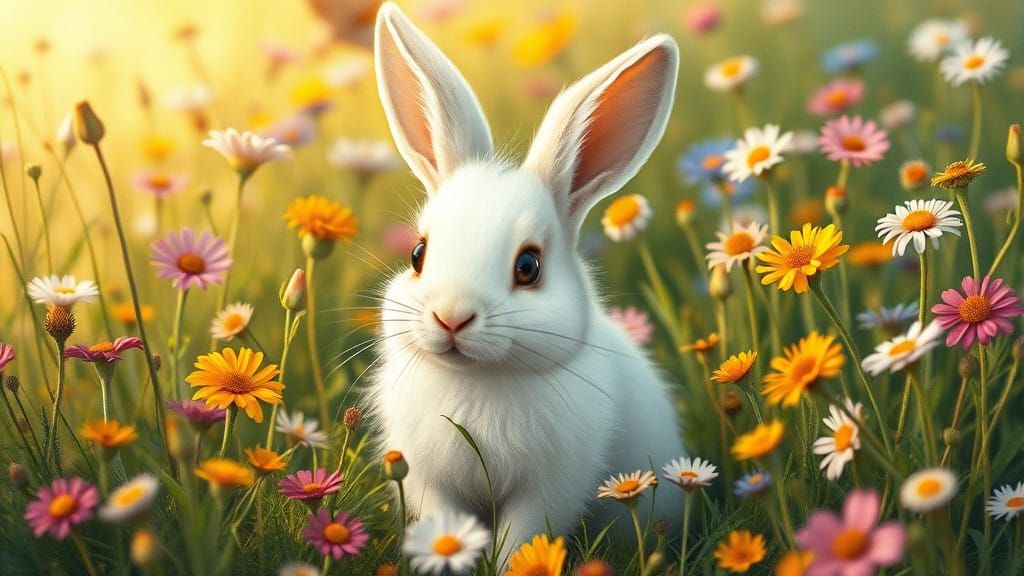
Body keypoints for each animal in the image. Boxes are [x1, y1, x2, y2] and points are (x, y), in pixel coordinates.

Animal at [368, 2, 685, 556]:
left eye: (529, 266)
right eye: (418, 254)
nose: (451, 317)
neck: (476, 381)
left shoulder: (551, 485)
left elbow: (522, 537)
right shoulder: (425, 479)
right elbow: (443, 525)